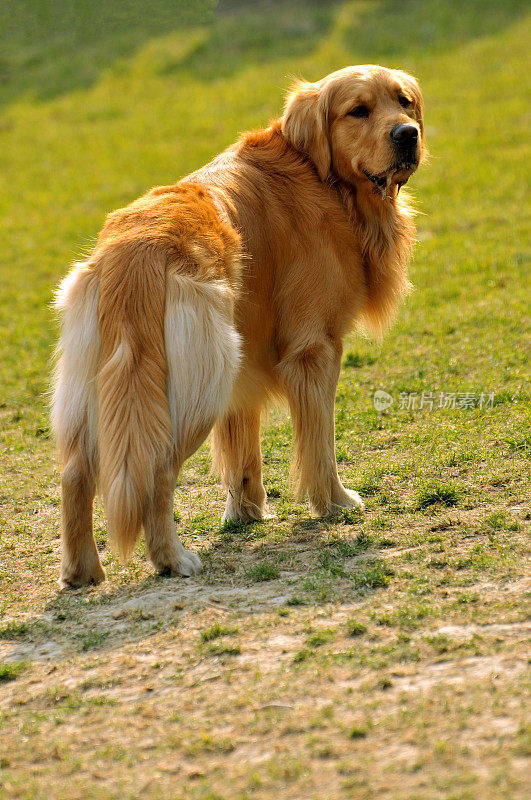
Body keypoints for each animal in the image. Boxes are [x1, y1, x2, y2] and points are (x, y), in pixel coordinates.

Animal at [52, 64, 426, 588]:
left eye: (404, 101)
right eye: (359, 110)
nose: (408, 134)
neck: (323, 178)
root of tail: (136, 254)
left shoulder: (243, 366)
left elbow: (242, 449)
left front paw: (246, 513)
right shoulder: (316, 350)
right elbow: (320, 444)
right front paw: (334, 502)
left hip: (109, 383)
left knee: (75, 474)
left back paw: (81, 570)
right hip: (196, 385)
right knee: (157, 471)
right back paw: (172, 559)